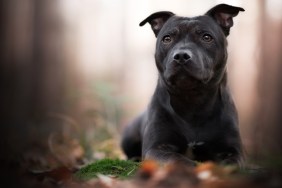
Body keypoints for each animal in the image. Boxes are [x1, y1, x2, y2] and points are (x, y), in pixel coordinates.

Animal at [121, 3, 245, 165]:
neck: (192, 102)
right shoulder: (156, 148)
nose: (181, 56)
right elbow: (178, 160)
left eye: (206, 37)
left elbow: (229, 164)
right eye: (167, 38)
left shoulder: (232, 150)